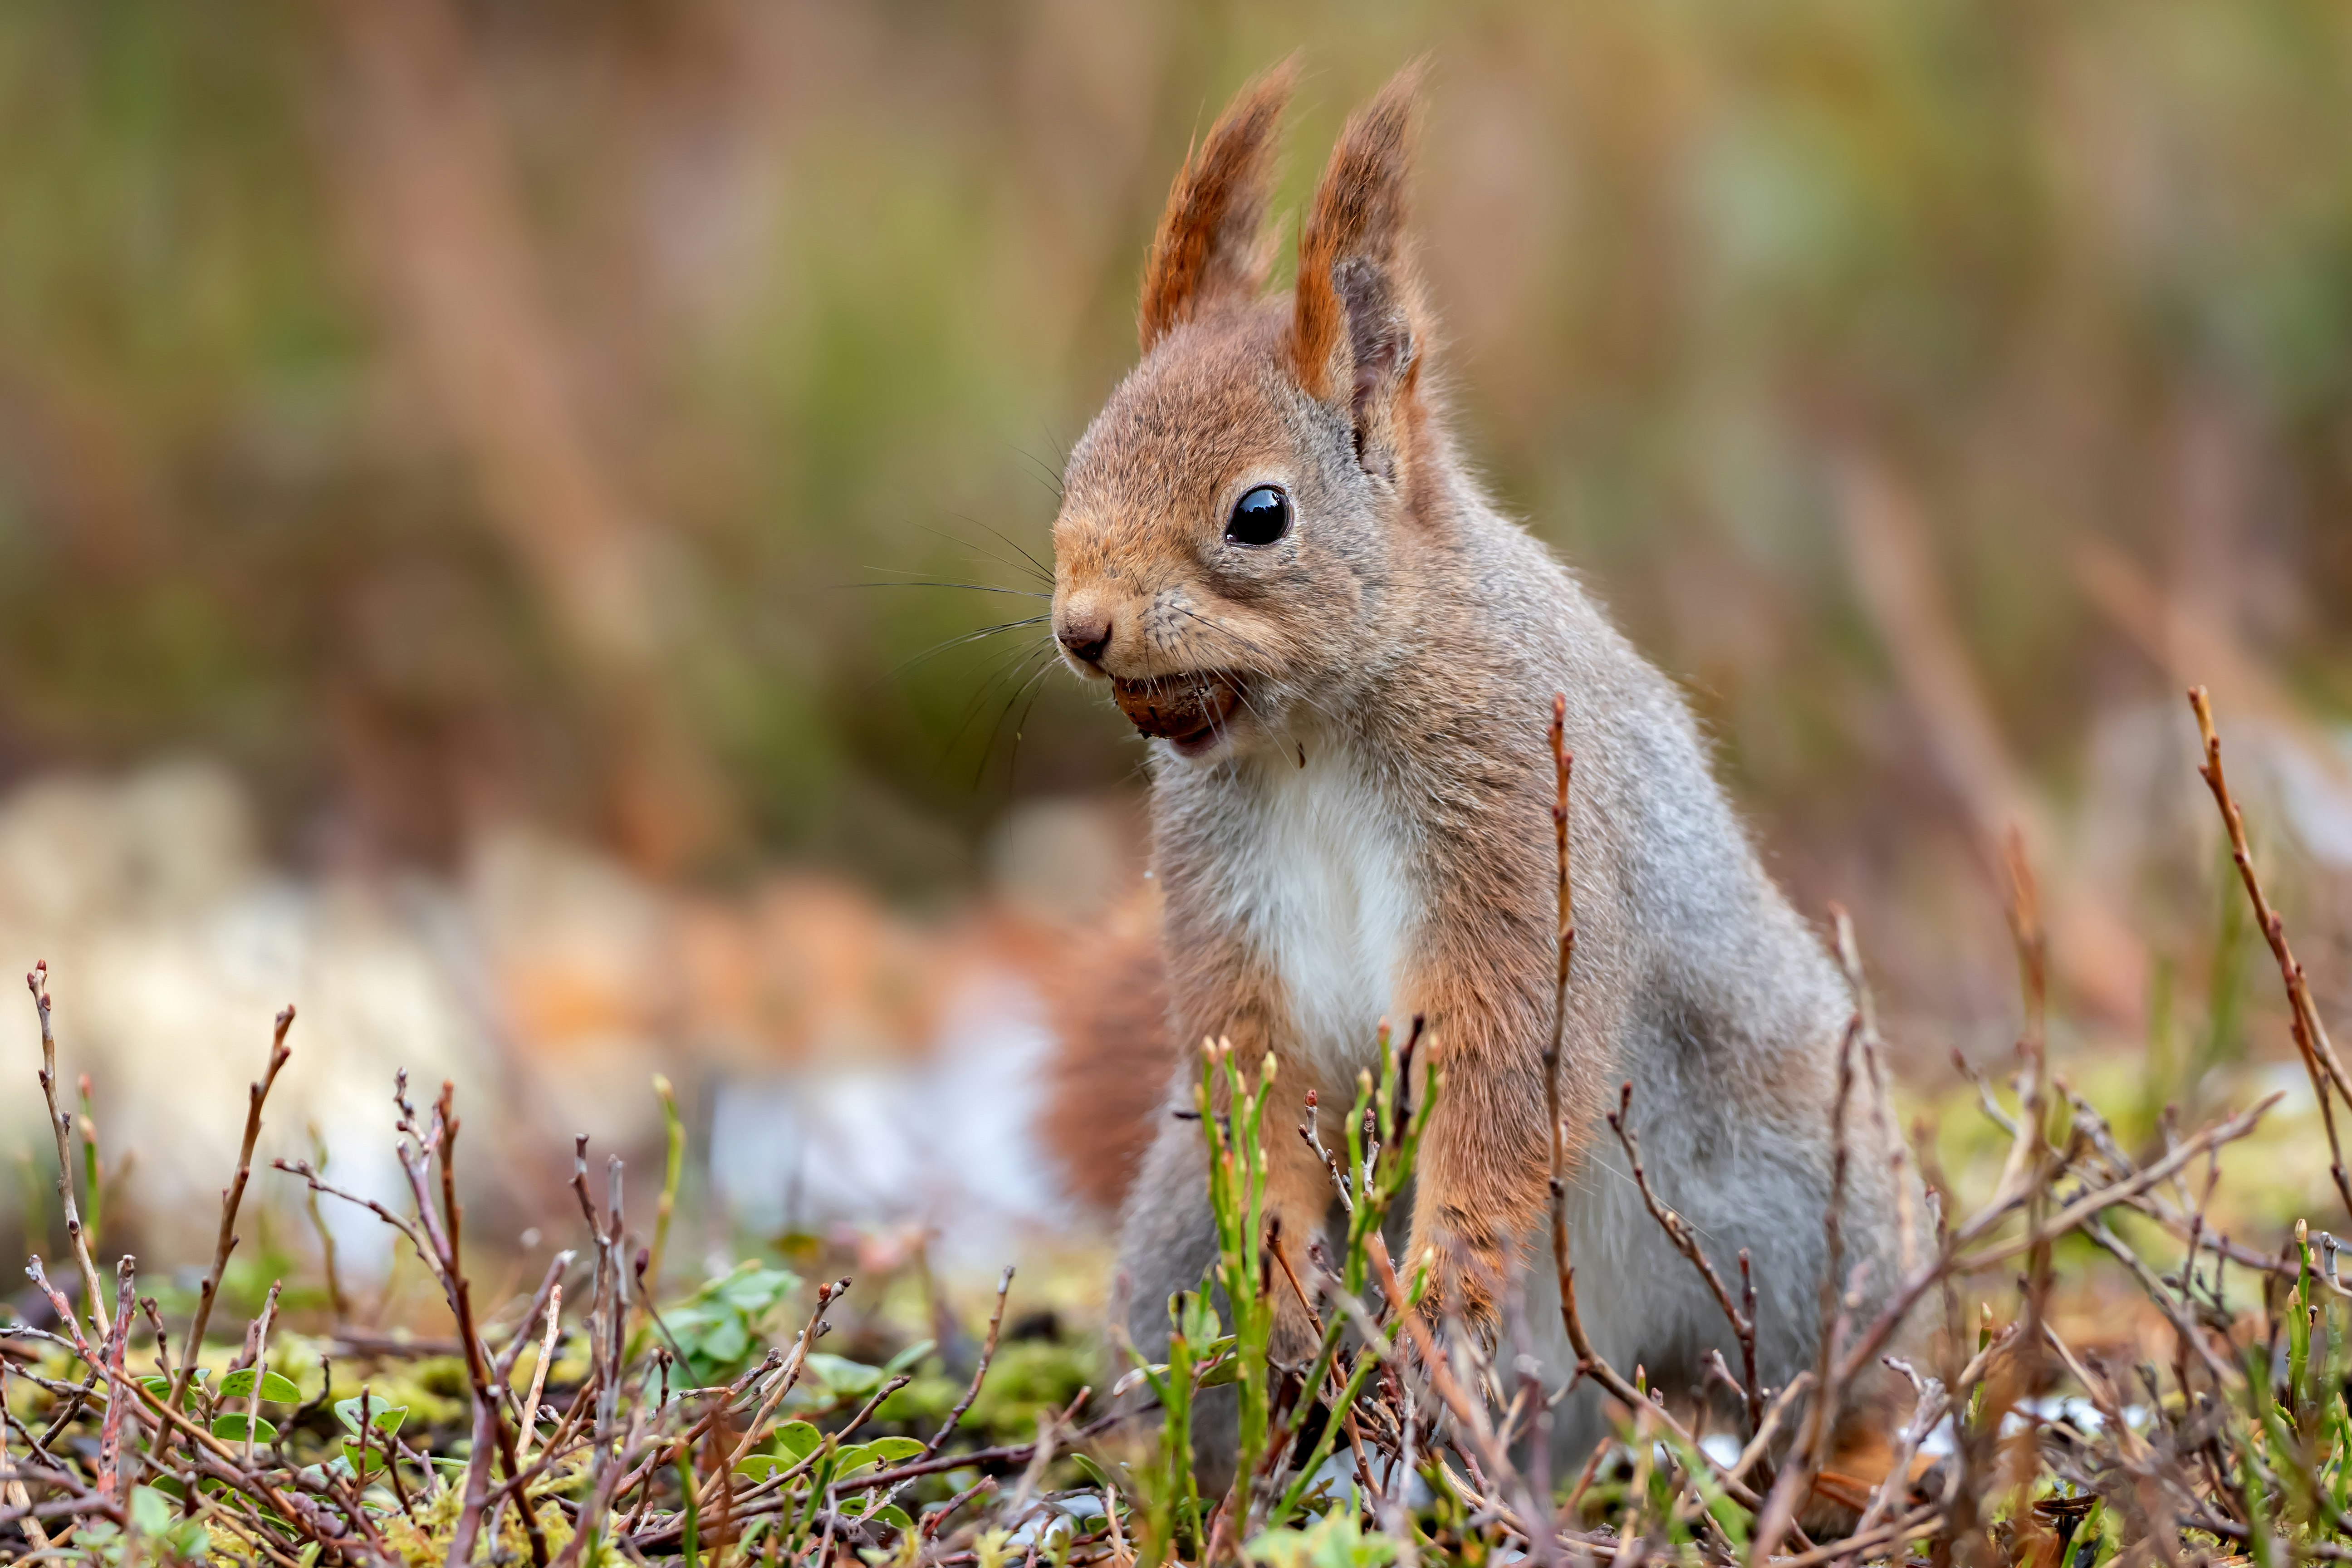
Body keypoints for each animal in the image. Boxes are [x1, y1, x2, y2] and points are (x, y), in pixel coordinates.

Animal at [1044, 61, 1910, 1504]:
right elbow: (1255, 1065)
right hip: (1173, 1234)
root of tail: (1594, 1374)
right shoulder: (1228, 905)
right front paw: (1288, 1281)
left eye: (1260, 514)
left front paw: (1442, 1286)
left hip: (1802, 1219)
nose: (1082, 627)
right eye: (1076, 466)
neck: (1314, 734)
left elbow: (1507, 1074)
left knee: (1821, 1378)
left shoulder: (1512, 830)